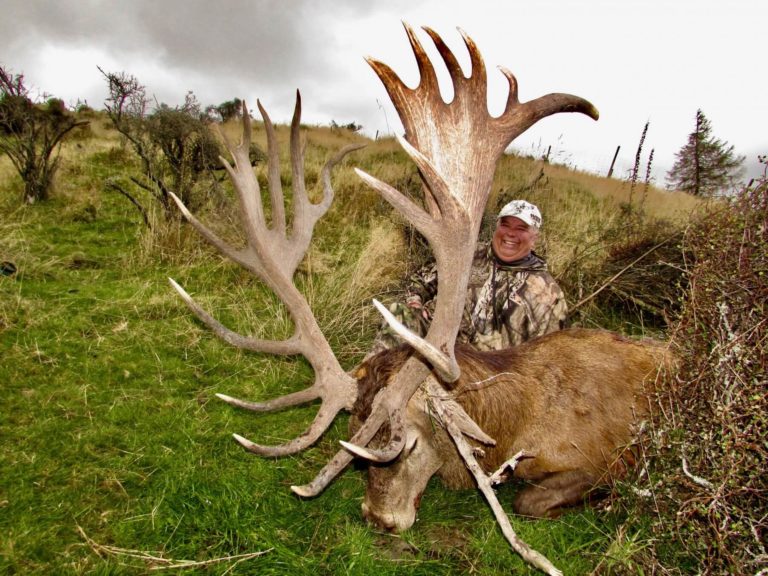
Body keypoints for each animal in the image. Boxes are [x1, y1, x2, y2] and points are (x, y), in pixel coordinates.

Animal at [167, 23, 667, 575]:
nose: (378, 519)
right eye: (354, 434)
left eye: (403, 445)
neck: (518, 421)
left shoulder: (604, 456)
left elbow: (530, 499)